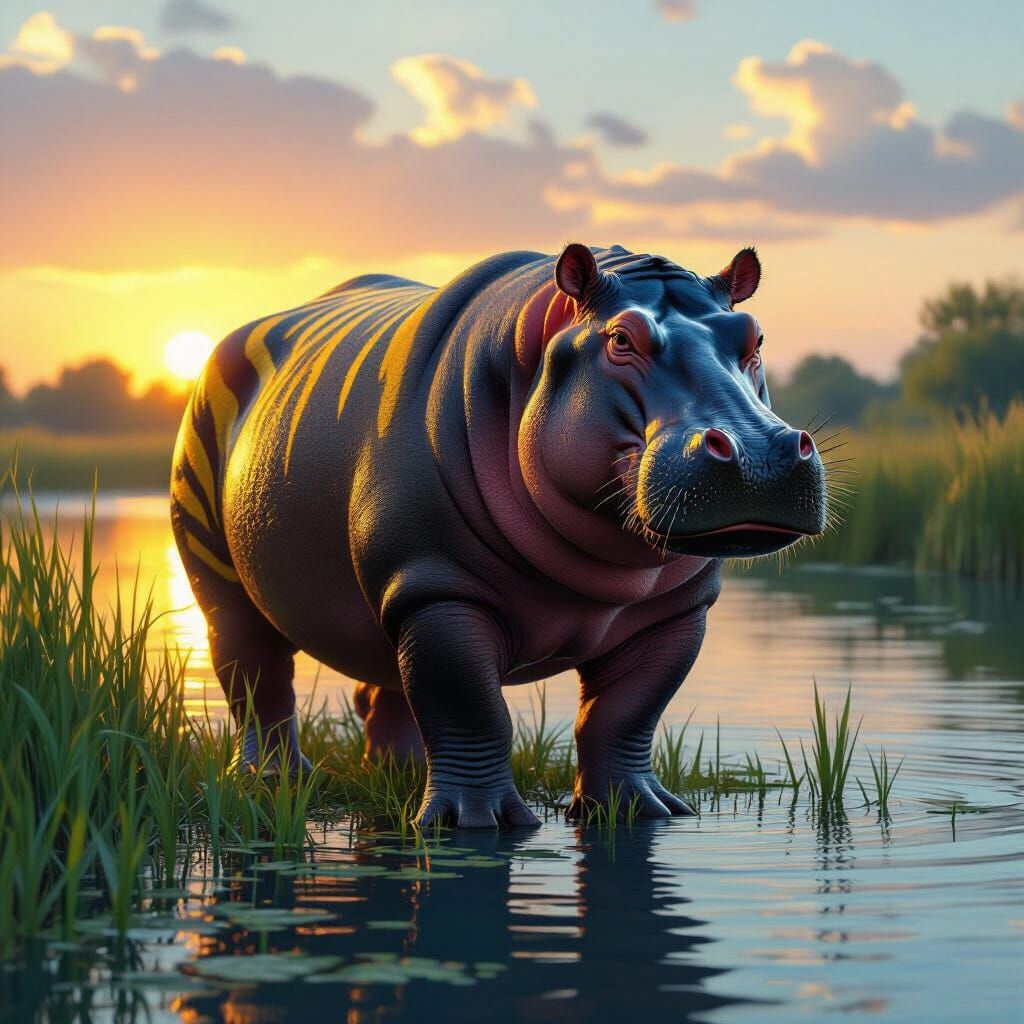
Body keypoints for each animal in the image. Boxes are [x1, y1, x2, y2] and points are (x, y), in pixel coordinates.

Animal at [171, 243, 826, 827]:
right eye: (621, 339)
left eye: (754, 338)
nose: (760, 453)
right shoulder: (439, 588)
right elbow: (470, 705)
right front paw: (475, 825)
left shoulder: (676, 612)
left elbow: (625, 713)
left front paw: (638, 812)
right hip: (226, 573)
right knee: (254, 673)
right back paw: (275, 781)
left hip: (391, 601)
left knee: (389, 683)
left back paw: (399, 775)